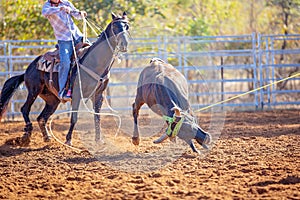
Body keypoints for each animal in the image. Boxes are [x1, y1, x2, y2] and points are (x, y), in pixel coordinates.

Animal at [0, 12, 129, 146]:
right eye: (115, 26)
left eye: (127, 27)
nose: (124, 44)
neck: (95, 62)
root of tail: (29, 68)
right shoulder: (76, 94)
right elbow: (74, 118)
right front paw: (68, 139)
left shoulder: (99, 95)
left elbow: (97, 116)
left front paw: (99, 140)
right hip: (34, 90)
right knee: (25, 109)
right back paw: (27, 135)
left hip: (52, 100)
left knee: (41, 118)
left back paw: (47, 137)